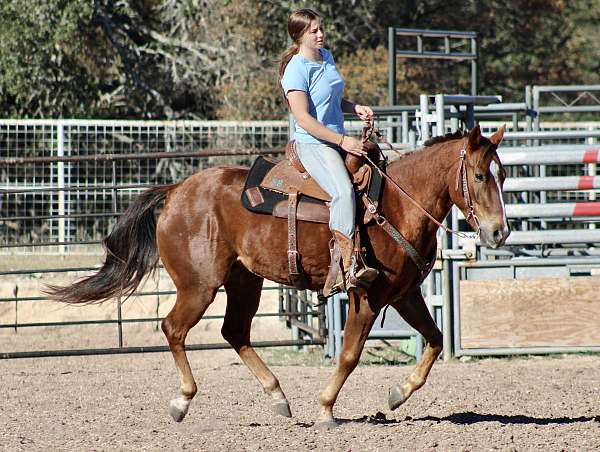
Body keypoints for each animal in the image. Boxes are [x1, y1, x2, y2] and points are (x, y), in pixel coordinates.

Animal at [45, 124, 510, 428]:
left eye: (503, 175)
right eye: (480, 175)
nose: (498, 232)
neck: (396, 205)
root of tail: (176, 191)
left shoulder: (404, 294)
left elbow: (435, 340)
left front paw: (397, 395)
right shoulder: (366, 297)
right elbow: (349, 355)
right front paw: (325, 409)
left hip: (244, 281)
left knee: (234, 332)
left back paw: (278, 397)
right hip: (199, 286)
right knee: (174, 328)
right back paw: (182, 401)